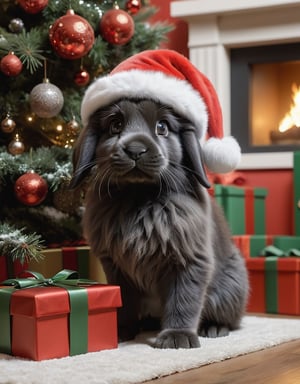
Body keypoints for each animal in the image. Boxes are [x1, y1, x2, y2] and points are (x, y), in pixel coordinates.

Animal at [70, 50, 248, 348]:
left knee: (229, 318)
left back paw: (213, 328)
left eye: (162, 127)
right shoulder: (116, 267)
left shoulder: (189, 262)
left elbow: (183, 300)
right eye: (115, 125)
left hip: (230, 288)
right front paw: (122, 331)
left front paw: (177, 337)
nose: (135, 150)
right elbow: (125, 302)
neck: (141, 199)